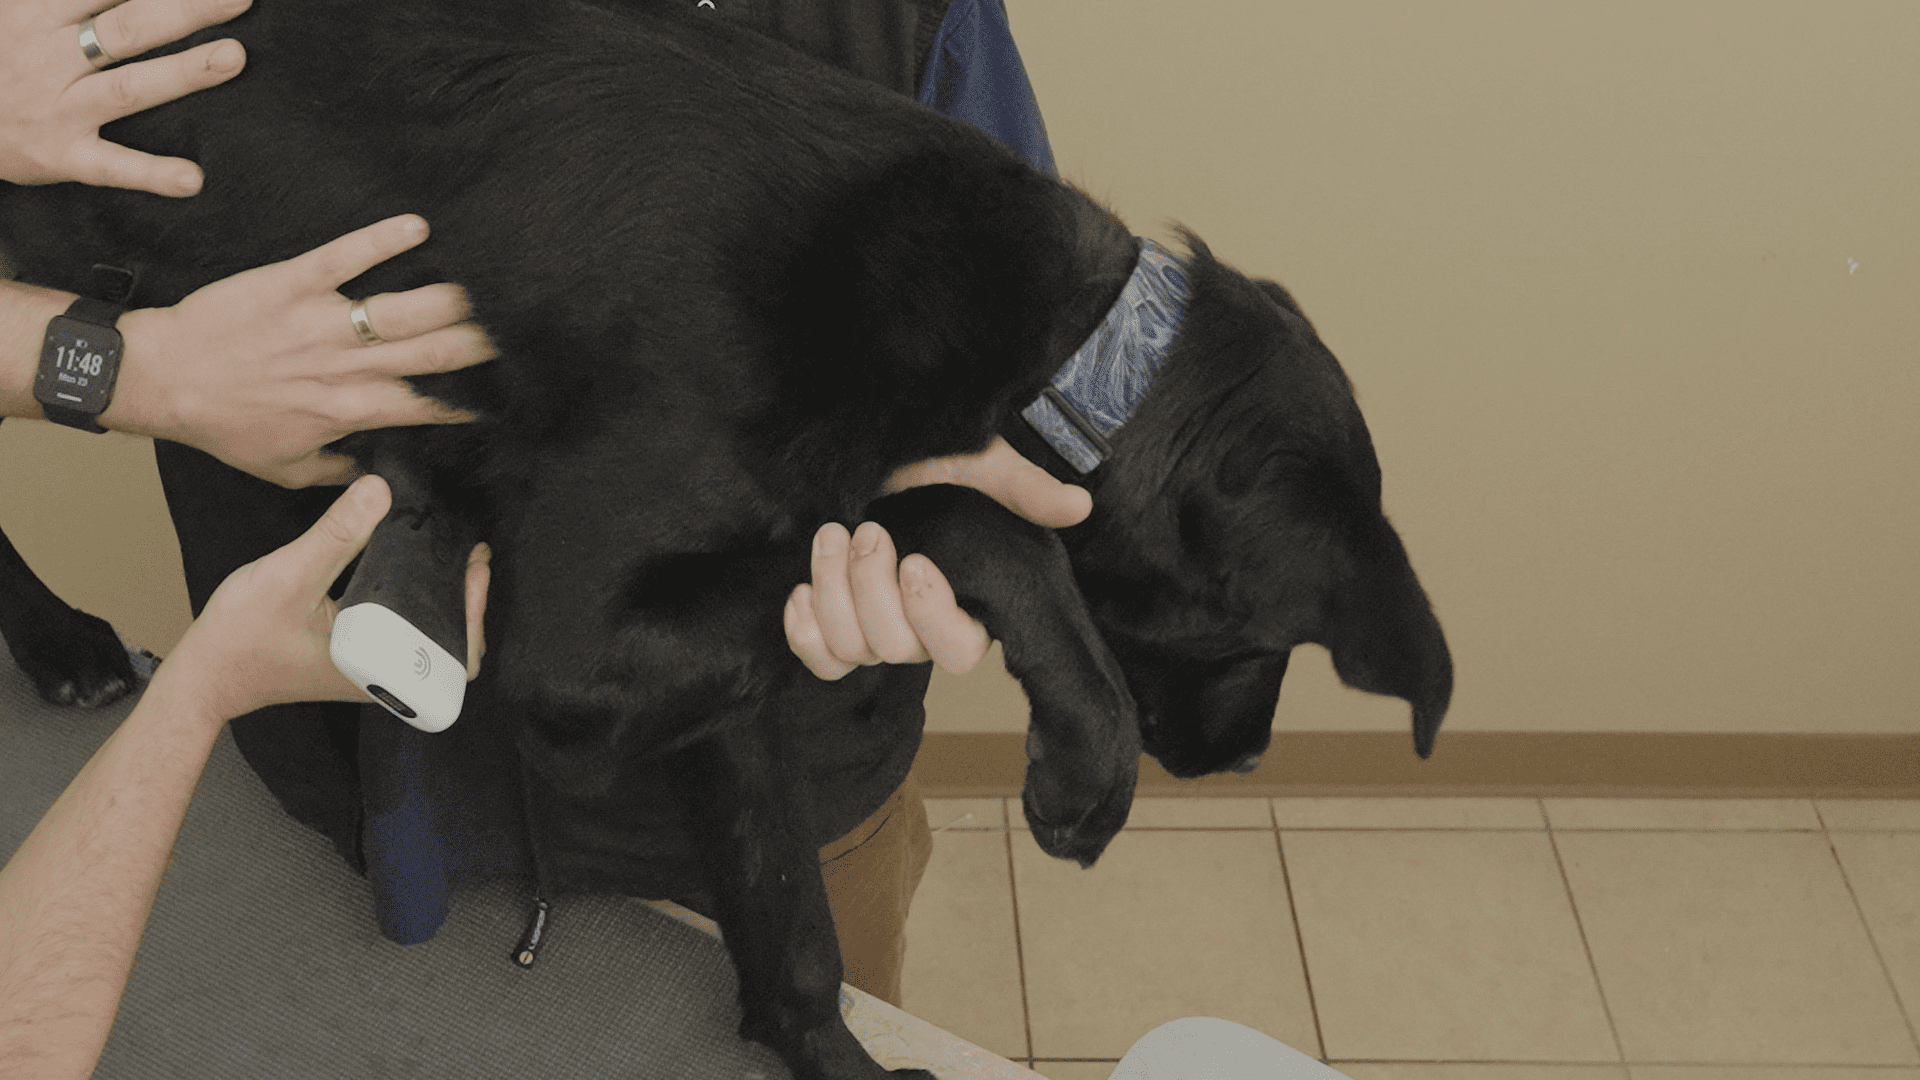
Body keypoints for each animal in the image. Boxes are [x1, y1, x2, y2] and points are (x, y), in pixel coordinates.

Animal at [0, 1, 1452, 1077]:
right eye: (1259, 641)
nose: (1244, 757)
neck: (1072, 349)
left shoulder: (698, 676)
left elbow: (786, 905)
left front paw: (819, 1048)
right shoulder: (575, 634)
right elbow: (958, 507)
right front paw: (1083, 747)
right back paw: (59, 640)